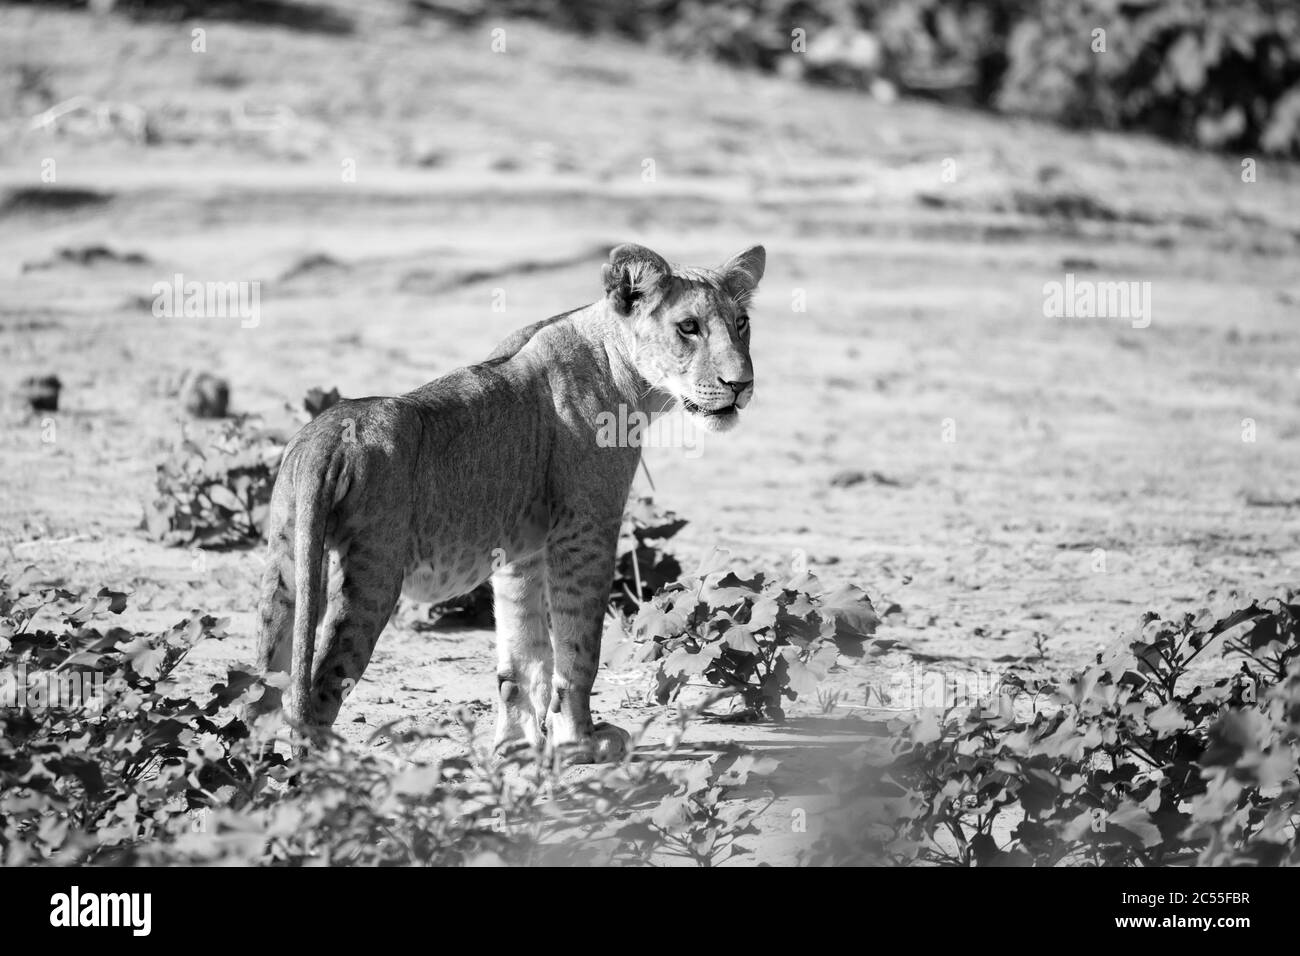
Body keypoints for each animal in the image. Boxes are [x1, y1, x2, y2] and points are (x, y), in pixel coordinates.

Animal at [248, 244, 764, 764]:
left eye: (741, 323)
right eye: (688, 327)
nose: (742, 384)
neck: (622, 368)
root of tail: (327, 435)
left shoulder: (520, 550)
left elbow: (523, 653)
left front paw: (516, 745)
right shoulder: (586, 530)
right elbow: (578, 648)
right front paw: (581, 742)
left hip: (287, 564)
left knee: (263, 690)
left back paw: (251, 765)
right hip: (372, 573)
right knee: (319, 689)